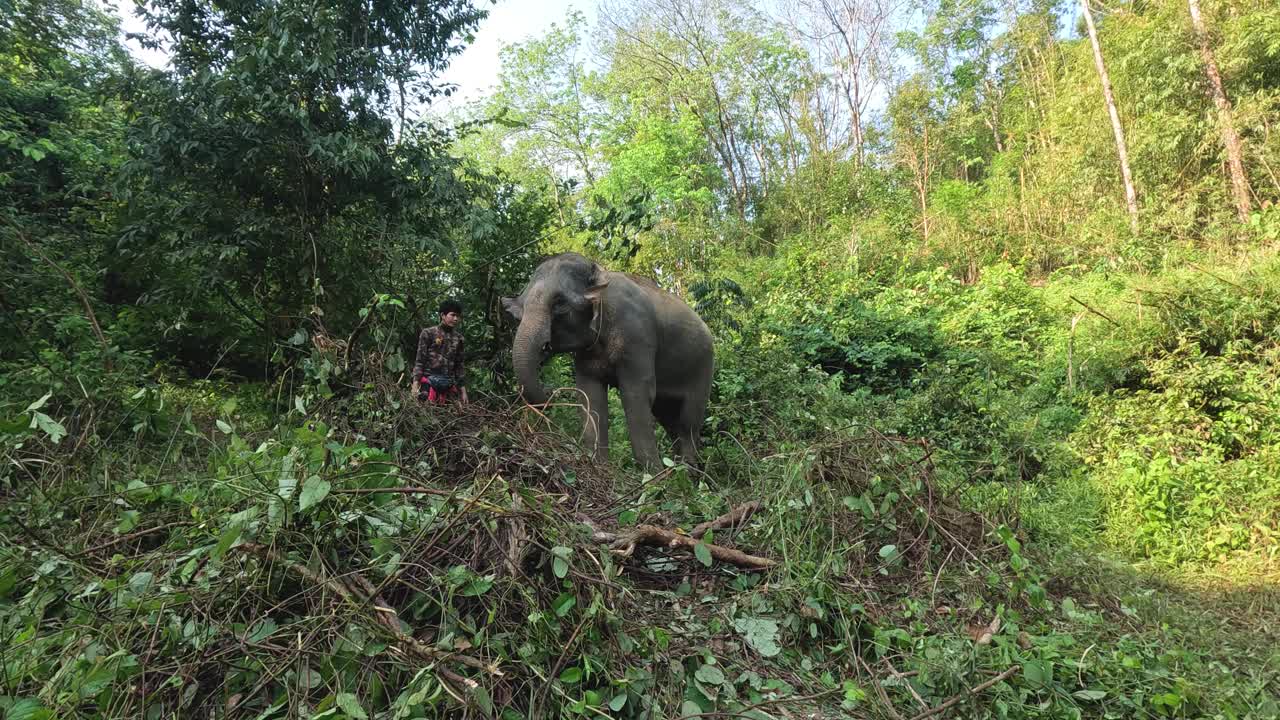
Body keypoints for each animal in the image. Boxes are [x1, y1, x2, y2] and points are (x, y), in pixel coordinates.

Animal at [501, 249, 721, 468]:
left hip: (703, 369)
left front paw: (652, 474)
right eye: (521, 310)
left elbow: (636, 394)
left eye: (559, 304)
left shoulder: (637, 338)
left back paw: (687, 471)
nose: (550, 394)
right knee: (670, 421)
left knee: (687, 423)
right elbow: (591, 395)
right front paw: (599, 466)